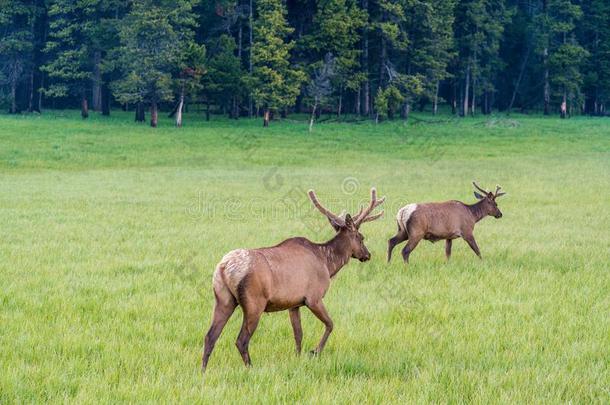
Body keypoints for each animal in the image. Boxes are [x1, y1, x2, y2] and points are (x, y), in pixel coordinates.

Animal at [200, 186, 382, 370]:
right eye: (361, 237)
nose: (367, 255)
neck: (328, 263)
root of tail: (224, 267)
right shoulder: (314, 298)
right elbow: (330, 324)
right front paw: (314, 352)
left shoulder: (294, 303)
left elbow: (298, 333)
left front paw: (298, 357)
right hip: (254, 302)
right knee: (241, 340)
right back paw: (250, 368)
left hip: (223, 298)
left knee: (210, 336)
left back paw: (203, 370)